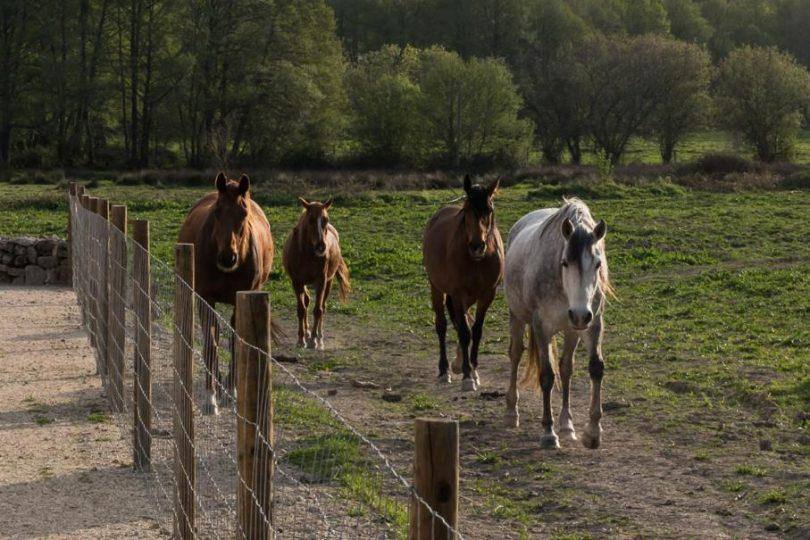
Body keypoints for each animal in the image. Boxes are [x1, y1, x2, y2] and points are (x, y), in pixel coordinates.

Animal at [178, 172, 275, 415]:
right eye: (217, 211)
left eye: (244, 213)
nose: (227, 257)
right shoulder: (205, 298)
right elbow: (210, 345)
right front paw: (210, 398)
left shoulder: (241, 299)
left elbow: (235, 343)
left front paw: (231, 392)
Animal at [282, 197, 350, 351]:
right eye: (311, 220)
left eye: (325, 219)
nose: (321, 247)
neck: (306, 254)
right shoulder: (297, 282)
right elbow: (301, 310)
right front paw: (301, 340)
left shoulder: (321, 281)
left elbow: (318, 310)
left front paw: (314, 340)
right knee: (306, 302)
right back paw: (307, 333)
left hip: (328, 282)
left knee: (322, 307)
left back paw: (319, 336)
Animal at [422, 175, 504, 391]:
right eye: (467, 211)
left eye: (489, 210)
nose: (477, 246)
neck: (477, 260)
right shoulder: (459, 293)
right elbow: (465, 332)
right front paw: (467, 376)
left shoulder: (487, 294)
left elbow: (476, 330)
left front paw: (473, 370)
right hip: (437, 288)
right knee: (442, 326)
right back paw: (444, 371)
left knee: (462, 321)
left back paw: (458, 362)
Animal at [503, 197, 613, 449]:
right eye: (564, 263)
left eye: (598, 264)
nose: (580, 314)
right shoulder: (542, 327)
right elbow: (546, 376)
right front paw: (547, 432)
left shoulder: (593, 324)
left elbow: (595, 368)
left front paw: (593, 431)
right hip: (517, 316)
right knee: (515, 354)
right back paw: (511, 412)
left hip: (572, 329)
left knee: (566, 368)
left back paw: (566, 425)